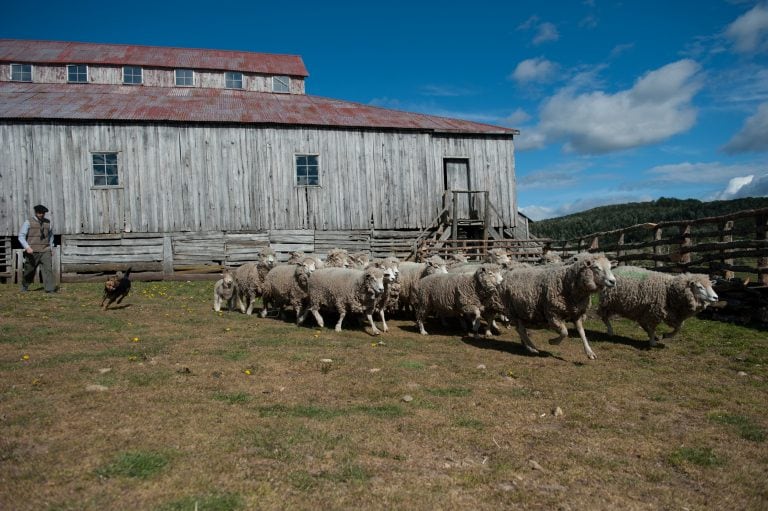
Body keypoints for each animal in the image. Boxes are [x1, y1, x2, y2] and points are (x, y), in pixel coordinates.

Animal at [592, 266, 720, 346]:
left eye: (710, 286)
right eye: (699, 287)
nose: (716, 297)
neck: (670, 290)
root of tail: (613, 270)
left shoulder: (672, 314)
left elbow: (678, 328)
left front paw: (665, 335)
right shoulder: (655, 311)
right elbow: (654, 327)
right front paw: (653, 342)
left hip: (637, 307)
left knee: (641, 322)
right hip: (609, 301)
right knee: (604, 316)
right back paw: (610, 331)